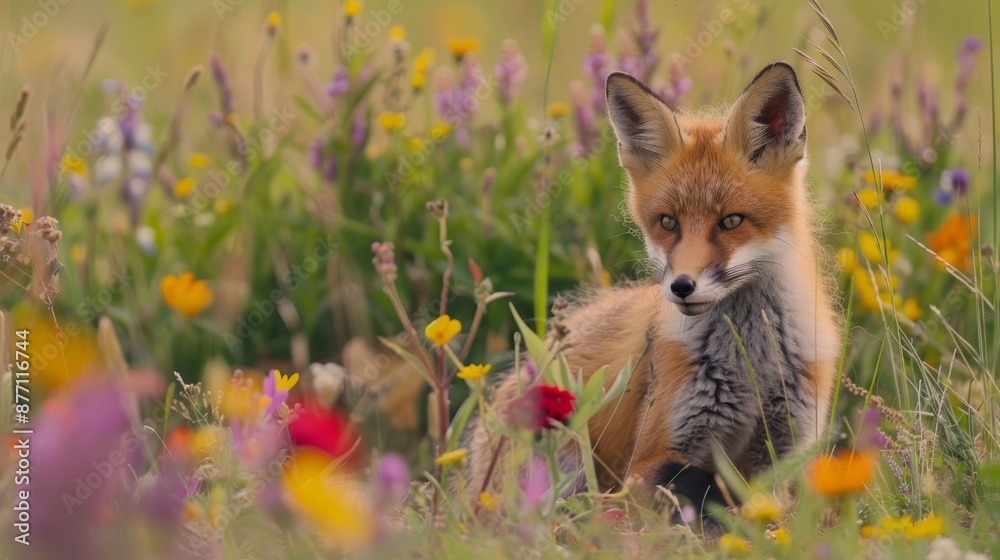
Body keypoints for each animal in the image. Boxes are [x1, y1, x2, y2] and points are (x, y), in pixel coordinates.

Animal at [463, 62, 842, 529]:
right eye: (668, 222)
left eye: (731, 221)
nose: (681, 286)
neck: (751, 363)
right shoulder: (652, 457)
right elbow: (696, 494)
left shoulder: (785, 449)